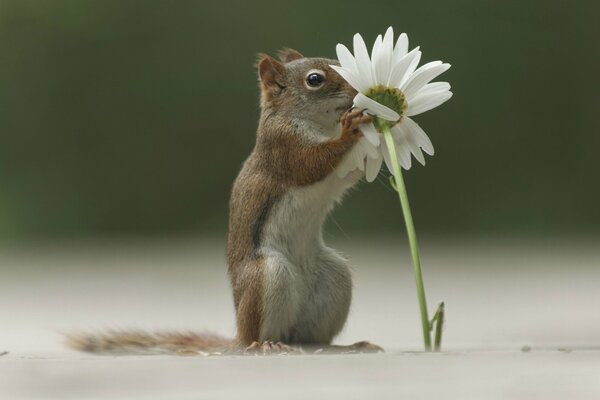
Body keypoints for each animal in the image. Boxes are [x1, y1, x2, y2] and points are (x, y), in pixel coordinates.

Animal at [67, 48, 384, 354]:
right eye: (315, 79)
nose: (357, 90)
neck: (315, 124)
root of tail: (238, 337)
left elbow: (350, 172)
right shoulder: (283, 148)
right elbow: (312, 165)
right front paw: (351, 129)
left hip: (334, 278)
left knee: (311, 337)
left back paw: (348, 345)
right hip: (266, 275)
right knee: (261, 333)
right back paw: (266, 344)